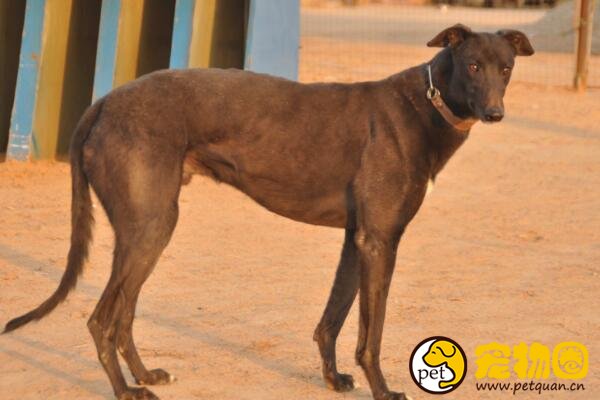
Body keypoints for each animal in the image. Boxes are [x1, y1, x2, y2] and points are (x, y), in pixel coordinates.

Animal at [2, 24, 532, 400]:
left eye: (505, 68)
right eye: (472, 65)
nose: (495, 114)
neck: (424, 105)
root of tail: (103, 104)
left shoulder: (357, 237)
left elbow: (332, 318)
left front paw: (334, 379)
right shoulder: (381, 240)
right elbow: (371, 333)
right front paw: (383, 391)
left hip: (148, 230)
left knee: (124, 313)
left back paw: (145, 374)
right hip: (149, 227)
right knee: (101, 319)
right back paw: (126, 390)